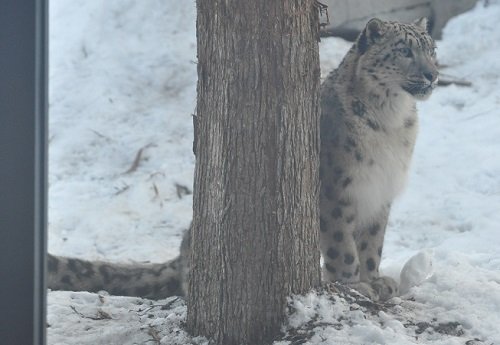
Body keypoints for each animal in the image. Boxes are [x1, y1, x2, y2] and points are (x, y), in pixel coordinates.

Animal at [47, 17, 438, 300]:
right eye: (404, 50)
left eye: (432, 49)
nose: (433, 73)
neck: (391, 122)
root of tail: (184, 251)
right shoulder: (336, 191)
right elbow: (343, 244)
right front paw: (355, 284)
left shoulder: (379, 194)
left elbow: (372, 243)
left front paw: (377, 279)